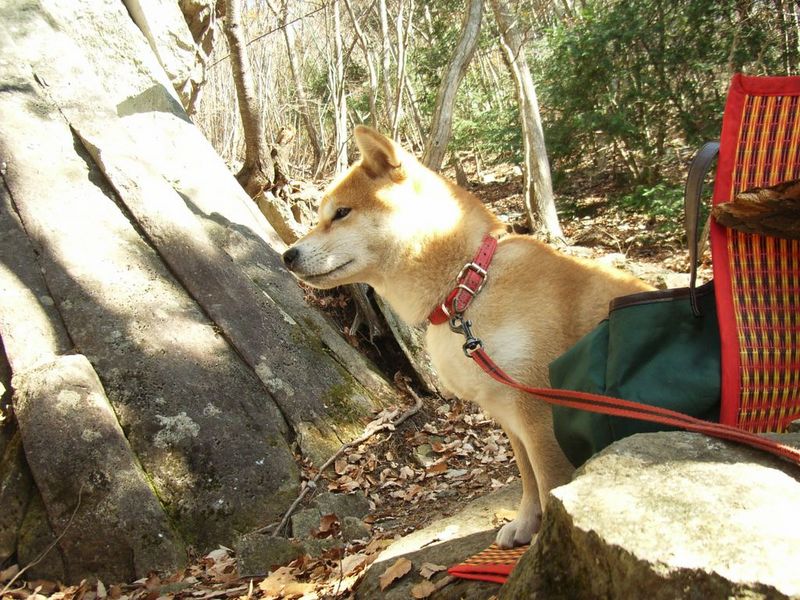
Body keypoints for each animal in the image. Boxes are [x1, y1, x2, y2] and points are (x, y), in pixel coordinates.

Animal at [282, 126, 652, 548]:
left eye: (341, 213)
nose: (287, 256)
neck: (468, 286)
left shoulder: (540, 415)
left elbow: (549, 485)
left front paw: (544, 546)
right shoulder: (508, 416)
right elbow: (529, 481)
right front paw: (525, 525)